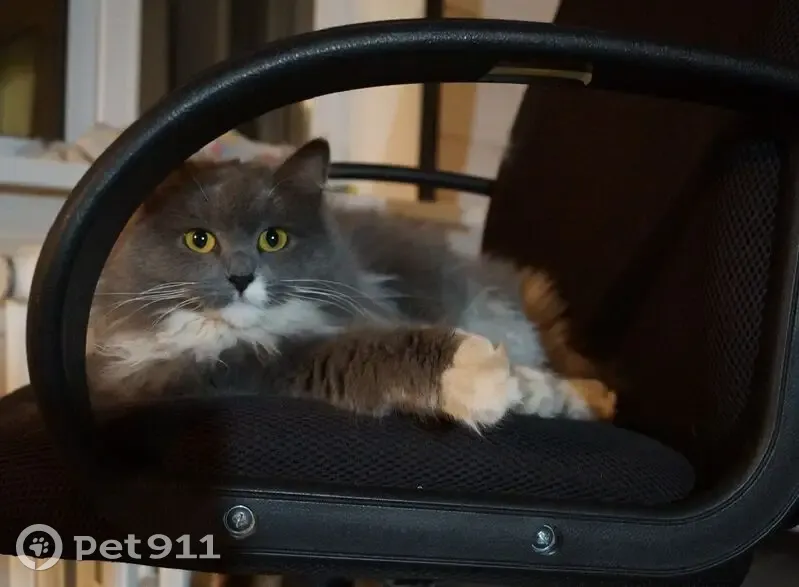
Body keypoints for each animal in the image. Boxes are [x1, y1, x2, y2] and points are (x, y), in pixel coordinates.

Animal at [86, 137, 614, 428]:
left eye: (273, 239)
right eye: (200, 240)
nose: (240, 276)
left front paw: (532, 391)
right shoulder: (226, 370)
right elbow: (360, 351)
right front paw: (480, 375)